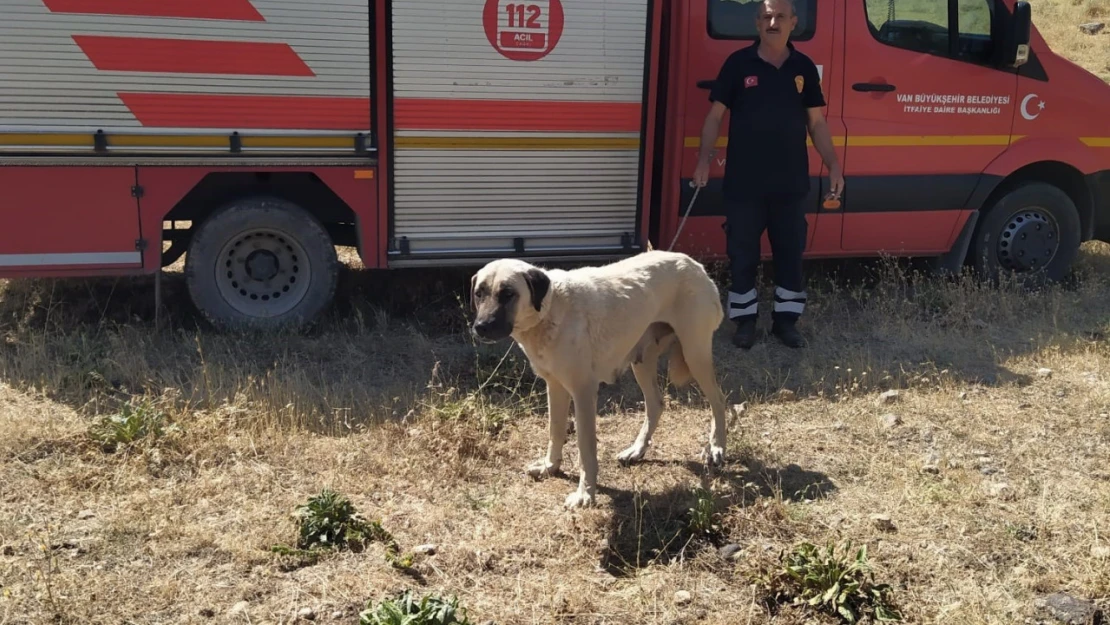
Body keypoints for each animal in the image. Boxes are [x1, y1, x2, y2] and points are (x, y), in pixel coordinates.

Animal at [468, 249, 728, 508]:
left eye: (507, 294)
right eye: (479, 294)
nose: (481, 327)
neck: (550, 310)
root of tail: (693, 263)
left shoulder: (583, 392)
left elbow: (585, 448)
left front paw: (585, 494)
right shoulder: (555, 387)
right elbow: (555, 431)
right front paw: (550, 466)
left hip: (695, 354)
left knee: (719, 400)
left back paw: (717, 447)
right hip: (642, 361)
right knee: (656, 404)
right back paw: (637, 450)